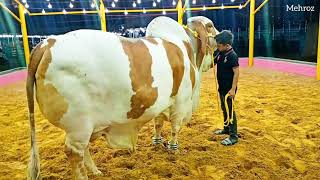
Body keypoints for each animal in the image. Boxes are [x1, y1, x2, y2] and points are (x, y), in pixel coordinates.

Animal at [26, 16, 219, 179]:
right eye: (210, 25)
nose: (220, 36)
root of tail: (46, 43)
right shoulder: (181, 101)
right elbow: (175, 128)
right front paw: (174, 149)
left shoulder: (161, 102)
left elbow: (158, 123)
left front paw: (157, 142)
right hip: (78, 124)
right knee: (74, 152)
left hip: (84, 125)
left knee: (84, 149)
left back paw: (96, 171)